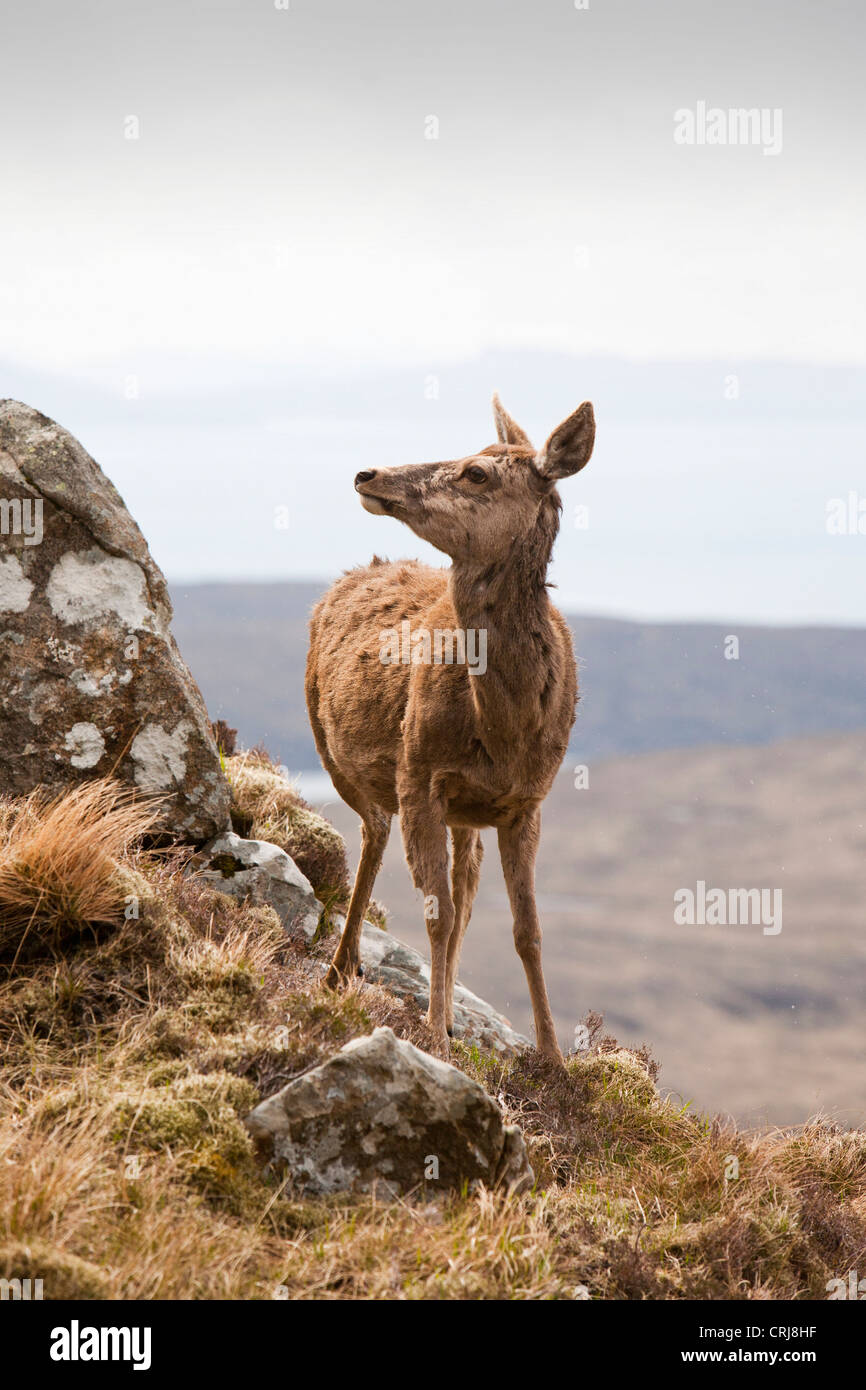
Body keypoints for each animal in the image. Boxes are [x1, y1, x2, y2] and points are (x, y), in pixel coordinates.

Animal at [304, 394, 594, 1061]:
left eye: (477, 473)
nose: (368, 473)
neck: (506, 728)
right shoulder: (419, 773)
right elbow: (435, 912)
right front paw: (434, 1032)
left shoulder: (527, 802)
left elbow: (526, 929)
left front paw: (552, 1056)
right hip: (333, 752)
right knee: (374, 836)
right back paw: (341, 969)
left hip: (466, 811)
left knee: (465, 885)